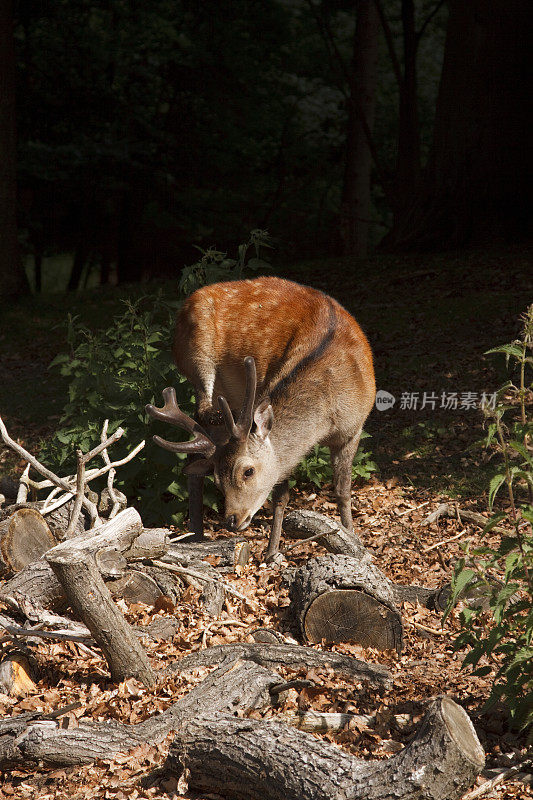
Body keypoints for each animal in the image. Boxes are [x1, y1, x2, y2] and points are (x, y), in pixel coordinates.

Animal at [145, 278, 374, 560]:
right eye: (217, 480)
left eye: (248, 471)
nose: (232, 520)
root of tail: (187, 302)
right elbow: (281, 495)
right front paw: (272, 552)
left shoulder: (354, 429)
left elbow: (342, 491)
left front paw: (353, 540)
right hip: (196, 359)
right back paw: (195, 535)